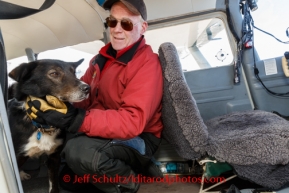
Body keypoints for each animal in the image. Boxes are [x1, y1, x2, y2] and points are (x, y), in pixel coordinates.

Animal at [7, 58, 90, 193]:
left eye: (74, 72)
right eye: (54, 74)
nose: (87, 88)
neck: (42, 124)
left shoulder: (54, 157)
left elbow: (53, 182)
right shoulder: (16, 156)